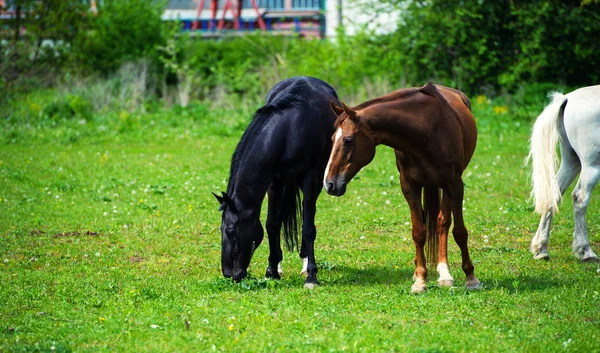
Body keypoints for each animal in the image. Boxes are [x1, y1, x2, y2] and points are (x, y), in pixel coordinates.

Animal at [213, 75, 340, 288]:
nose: (229, 274)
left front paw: (311, 276)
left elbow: (308, 229)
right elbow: (272, 224)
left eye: (230, 231)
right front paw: (272, 270)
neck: (290, 129)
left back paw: (305, 262)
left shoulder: (310, 180)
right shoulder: (274, 182)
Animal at [324, 81, 482, 292]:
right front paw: (420, 279)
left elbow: (459, 232)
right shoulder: (409, 186)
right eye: (332, 139)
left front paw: (471, 277)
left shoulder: (455, 184)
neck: (426, 130)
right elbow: (419, 232)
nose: (329, 184)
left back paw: (444, 273)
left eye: (348, 140)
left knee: (443, 223)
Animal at [528, 84, 600, 262]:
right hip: (591, 165)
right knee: (580, 198)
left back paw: (541, 250)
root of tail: (567, 98)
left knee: (553, 195)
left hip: (571, 161)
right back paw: (586, 252)